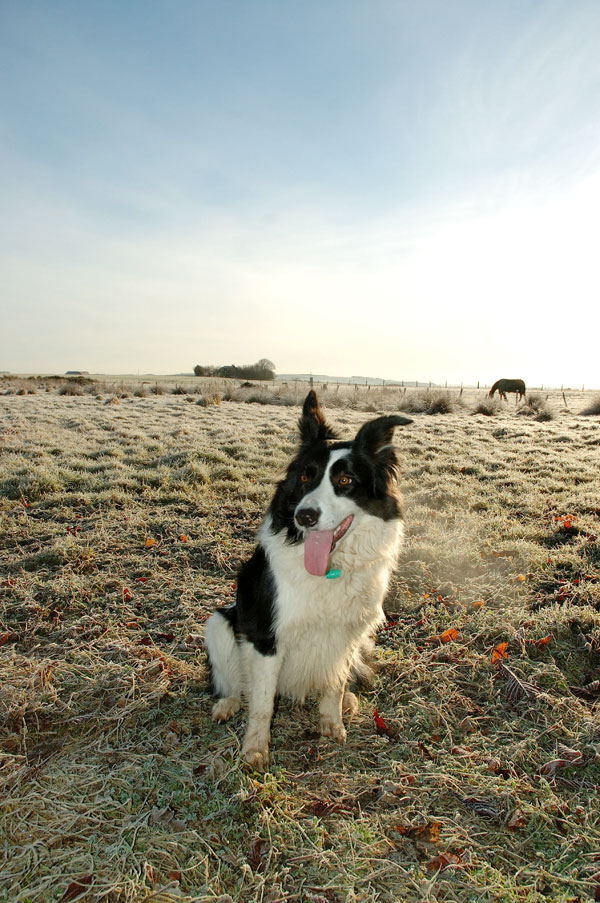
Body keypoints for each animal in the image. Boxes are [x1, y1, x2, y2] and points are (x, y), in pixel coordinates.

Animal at [204, 390, 410, 768]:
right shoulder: (266, 635)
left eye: (345, 481)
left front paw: (332, 723)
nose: (305, 516)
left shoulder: (346, 633)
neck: (330, 567)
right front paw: (255, 749)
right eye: (304, 478)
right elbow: (261, 703)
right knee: (234, 683)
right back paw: (228, 703)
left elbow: (335, 684)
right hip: (220, 622)